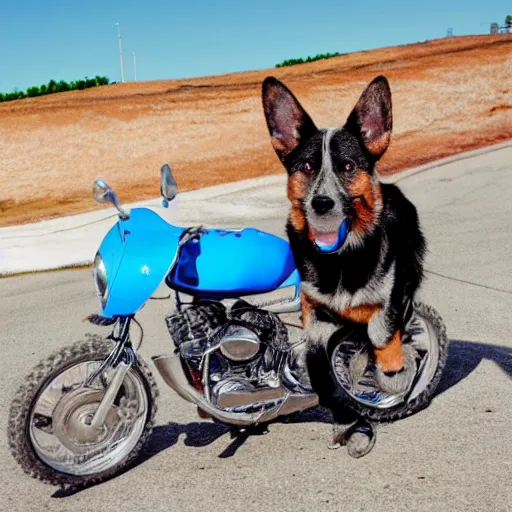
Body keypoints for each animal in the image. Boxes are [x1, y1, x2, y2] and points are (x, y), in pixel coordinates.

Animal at [262, 75, 426, 456]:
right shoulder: (315, 317)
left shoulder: (393, 295)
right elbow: (321, 372)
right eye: (307, 167)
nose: (322, 204)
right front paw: (347, 420)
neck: (341, 259)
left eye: (348, 167)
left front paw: (389, 372)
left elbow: (382, 332)